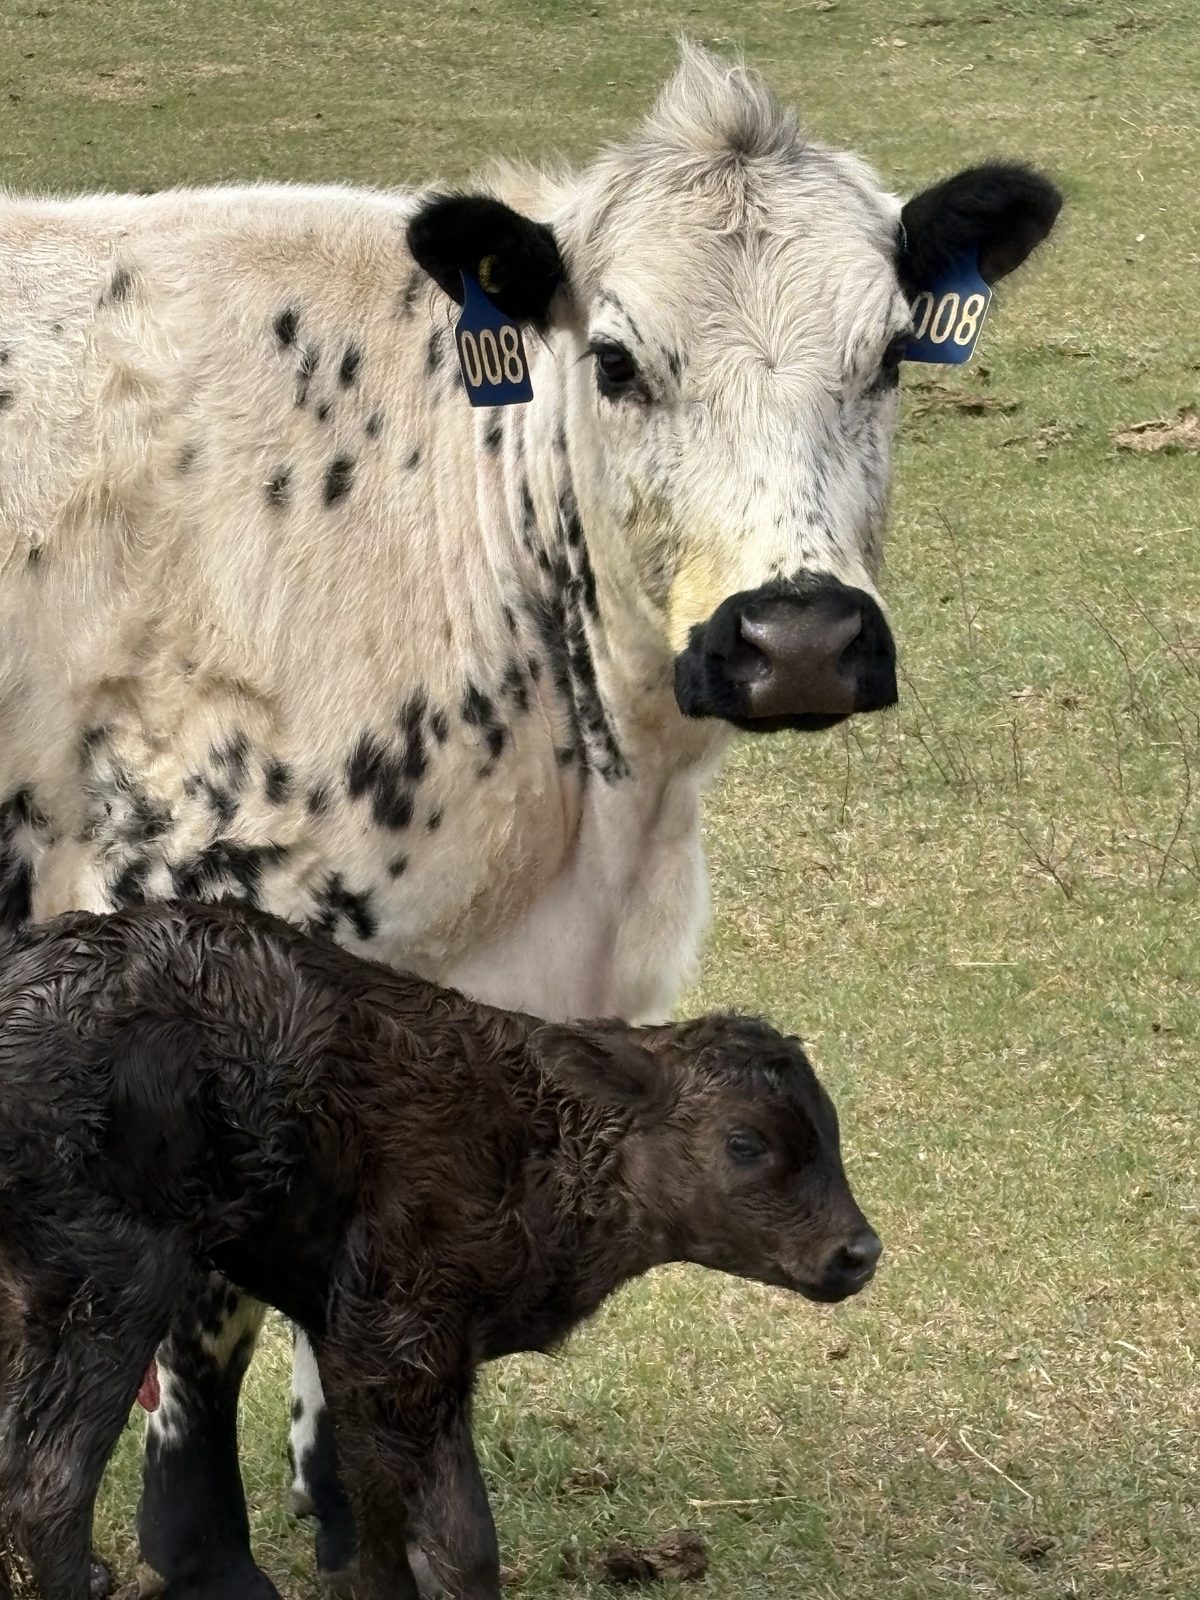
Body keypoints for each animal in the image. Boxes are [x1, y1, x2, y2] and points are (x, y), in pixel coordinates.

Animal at [0, 42, 1060, 1600]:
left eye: (885, 357)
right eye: (615, 361)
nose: (798, 638)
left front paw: (346, 1516)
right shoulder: (197, 906)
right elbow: (214, 1315)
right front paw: (205, 1551)